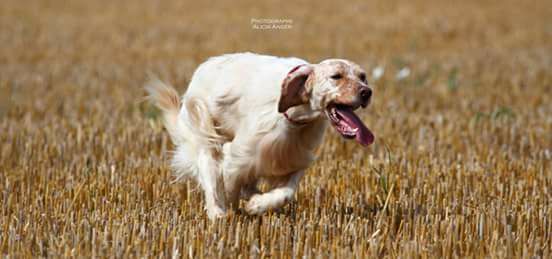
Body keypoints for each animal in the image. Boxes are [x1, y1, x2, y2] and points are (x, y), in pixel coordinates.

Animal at [146, 52, 376, 219]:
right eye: (336, 76)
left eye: (363, 76)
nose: (367, 92)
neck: (294, 118)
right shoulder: (238, 157)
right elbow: (229, 187)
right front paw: (237, 210)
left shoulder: (293, 159)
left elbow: (286, 193)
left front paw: (257, 205)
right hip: (205, 138)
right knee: (212, 181)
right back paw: (218, 214)